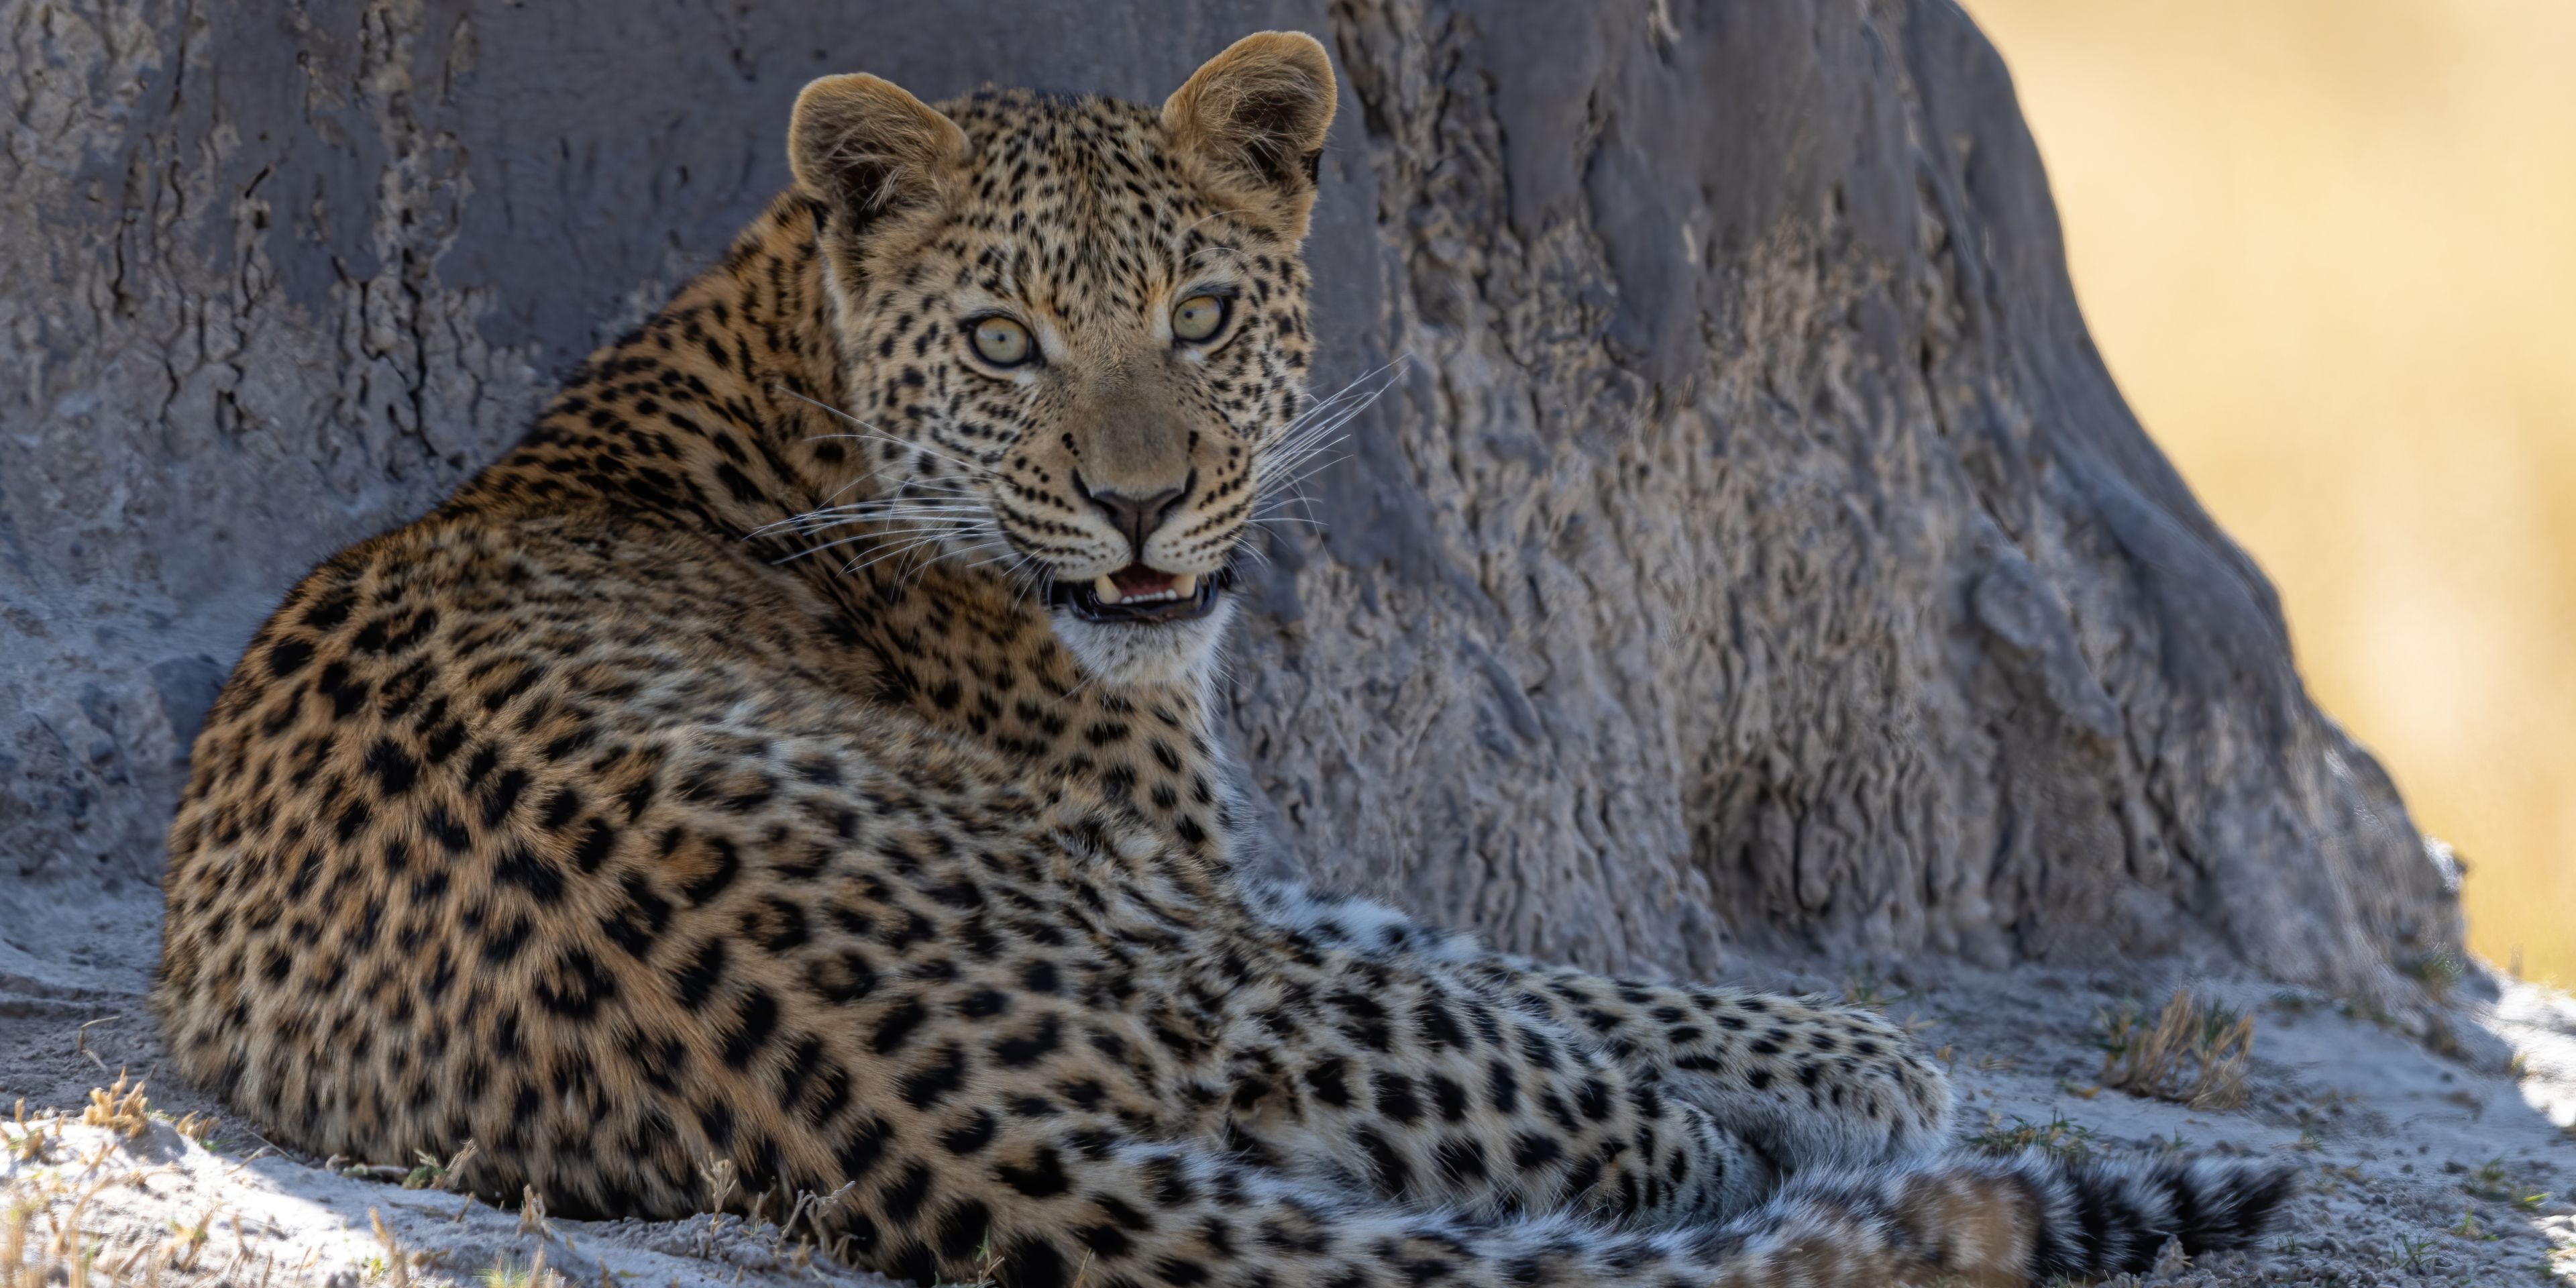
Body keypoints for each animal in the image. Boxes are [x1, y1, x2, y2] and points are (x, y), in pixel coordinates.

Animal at [153, 31, 2291, 1288]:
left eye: (1199, 314)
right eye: (1004, 341)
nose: (1138, 507)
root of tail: (880, 1077)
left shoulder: (1238, 863)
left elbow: (1509, 935)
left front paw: (1849, 1046)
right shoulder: (1202, 876)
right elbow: (1554, 976)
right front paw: (1872, 1061)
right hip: (1222, 986)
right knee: (1628, 1151)